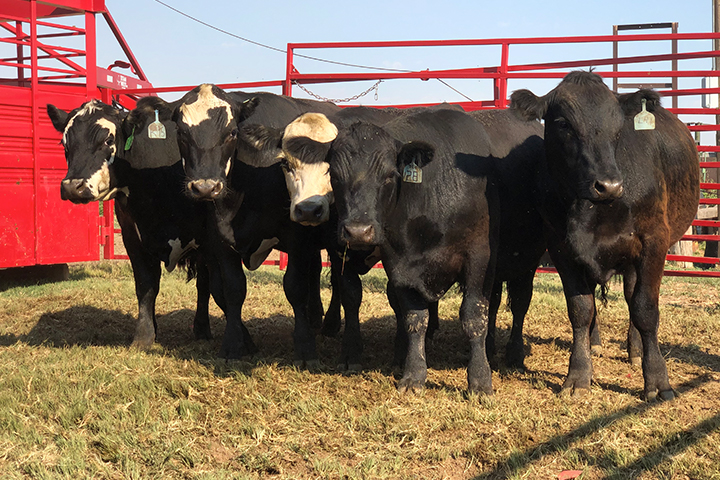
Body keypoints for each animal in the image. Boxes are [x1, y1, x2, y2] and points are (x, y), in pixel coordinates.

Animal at [46, 97, 255, 350]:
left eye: (107, 140)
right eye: (64, 142)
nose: (72, 186)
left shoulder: (211, 240)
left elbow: (219, 288)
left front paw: (243, 337)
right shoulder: (132, 237)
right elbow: (146, 286)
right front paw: (144, 335)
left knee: (204, 285)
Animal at [328, 110, 500, 396]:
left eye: (389, 175)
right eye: (333, 175)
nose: (358, 231)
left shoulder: (479, 258)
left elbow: (474, 316)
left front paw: (479, 380)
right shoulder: (400, 265)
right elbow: (414, 319)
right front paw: (414, 375)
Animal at [510, 72, 700, 402]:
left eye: (619, 126)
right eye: (563, 124)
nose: (608, 185)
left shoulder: (654, 242)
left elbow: (645, 309)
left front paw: (657, 380)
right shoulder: (561, 249)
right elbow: (581, 310)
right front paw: (578, 374)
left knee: (633, 297)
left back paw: (636, 350)